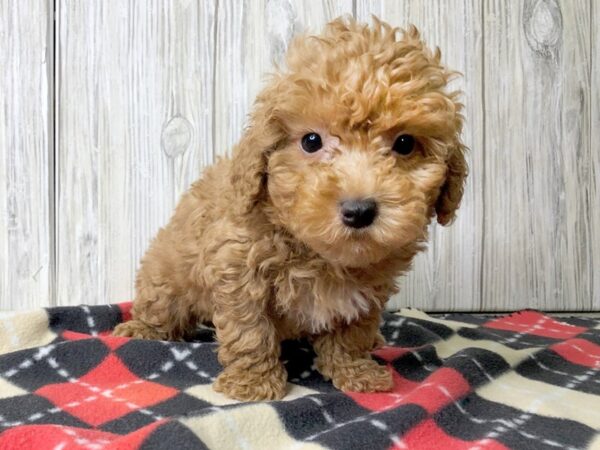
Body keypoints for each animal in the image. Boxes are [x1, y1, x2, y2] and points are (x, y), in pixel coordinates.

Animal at [112, 16, 468, 400]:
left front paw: (355, 371)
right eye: (311, 141)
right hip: (167, 277)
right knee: (160, 307)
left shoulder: (366, 291)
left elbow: (351, 333)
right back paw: (140, 329)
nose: (359, 211)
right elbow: (250, 331)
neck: (318, 254)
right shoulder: (238, 271)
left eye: (404, 144)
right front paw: (252, 382)